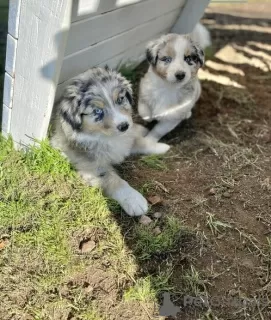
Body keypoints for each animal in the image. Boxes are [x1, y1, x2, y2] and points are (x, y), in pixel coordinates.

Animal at [51, 67, 170, 218]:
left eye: (120, 99)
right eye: (97, 111)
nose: (124, 126)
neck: (107, 137)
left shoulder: (125, 139)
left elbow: (139, 142)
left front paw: (161, 147)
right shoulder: (92, 167)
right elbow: (114, 180)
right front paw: (134, 200)